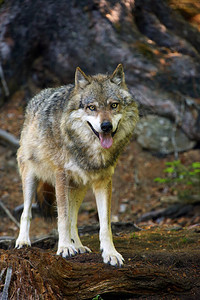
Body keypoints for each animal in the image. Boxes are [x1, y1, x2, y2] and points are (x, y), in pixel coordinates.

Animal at [15, 64, 139, 266]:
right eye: (92, 107)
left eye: (113, 105)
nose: (106, 126)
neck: (90, 151)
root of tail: (36, 98)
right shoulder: (61, 177)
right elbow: (62, 218)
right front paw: (64, 247)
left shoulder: (104, 181)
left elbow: (104, 224)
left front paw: (110, 253)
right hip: (30, 178)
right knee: (26, 212)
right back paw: (23, 242)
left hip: (79, 187)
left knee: (74, 219)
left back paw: (78, 246)